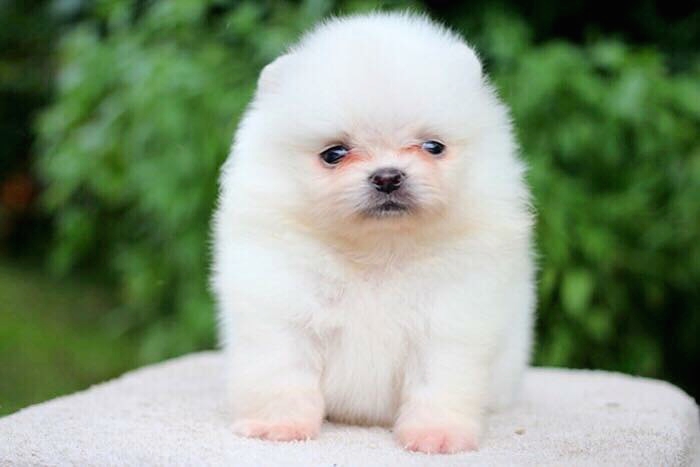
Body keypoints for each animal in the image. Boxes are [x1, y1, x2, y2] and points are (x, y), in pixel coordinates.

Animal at [212, 12, 535, 454]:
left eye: (433, 147)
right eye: (334, 154)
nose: (387, 177)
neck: (379, 251)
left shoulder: (449, 321)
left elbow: (438, 382)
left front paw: (437, 434)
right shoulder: (283, 312)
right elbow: (283, 373)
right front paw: (277, 425)